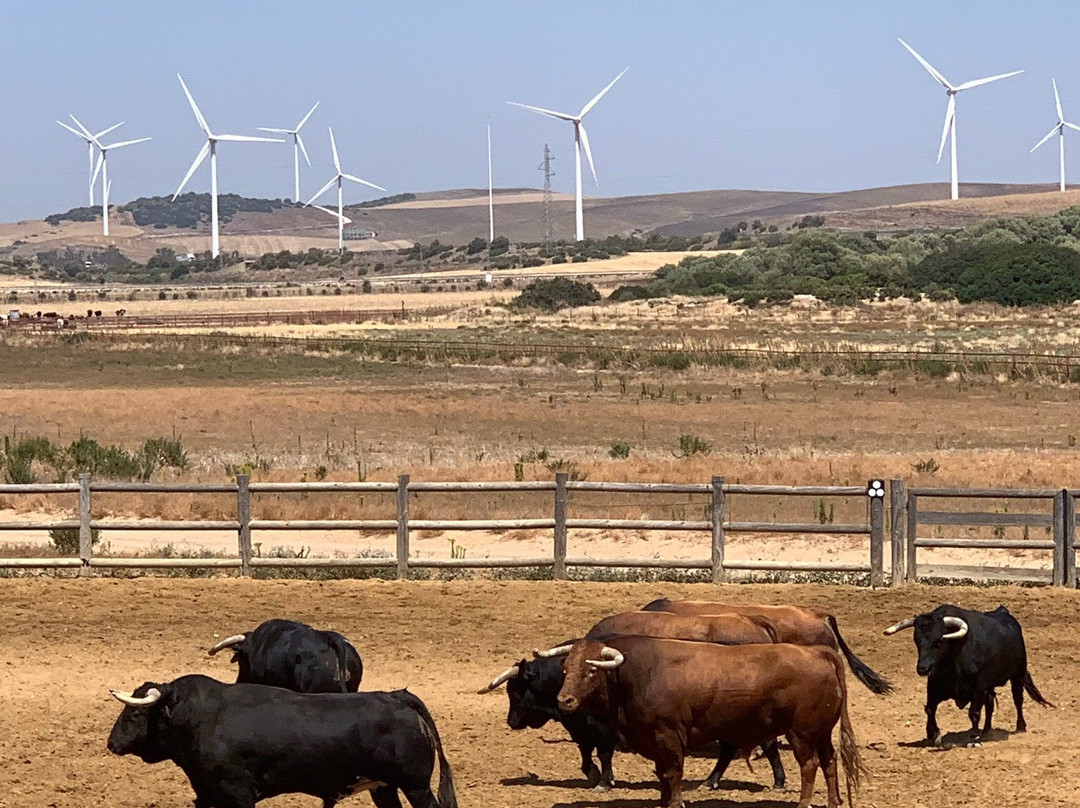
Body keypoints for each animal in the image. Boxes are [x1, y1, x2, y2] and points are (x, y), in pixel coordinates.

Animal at [105, 674, 451, 808]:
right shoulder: (207, 794)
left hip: (416, 786)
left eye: (135, 713)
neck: (203, 719)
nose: (111, 743)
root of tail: (397, 697)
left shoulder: (240, 794)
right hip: (384, 787)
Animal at [552, 639, 864, 808]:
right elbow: (662, 775)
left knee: (810, 765)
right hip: (821, 732)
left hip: (802, 733)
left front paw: (676, 802)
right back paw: (833, 801)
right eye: (566, 668)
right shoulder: (655, 740)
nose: (564, 699)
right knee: (830, 762)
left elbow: (673, 773)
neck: (636, 674)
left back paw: (803, 802)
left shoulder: (669, 736)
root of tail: (817, 653)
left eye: (592, 671)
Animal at [881, 604, 1049, 743]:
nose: (922, 669)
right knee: (990, 704)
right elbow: (930, 708)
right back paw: (986, 730)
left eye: (938, 641)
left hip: (1017, 675)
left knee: (1017, 699)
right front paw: (933, 734)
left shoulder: (979, 687)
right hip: (991, 685)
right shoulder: (934, 685)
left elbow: (974, 712)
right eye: (917, 641)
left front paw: (973, 738)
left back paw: (1020, 726)